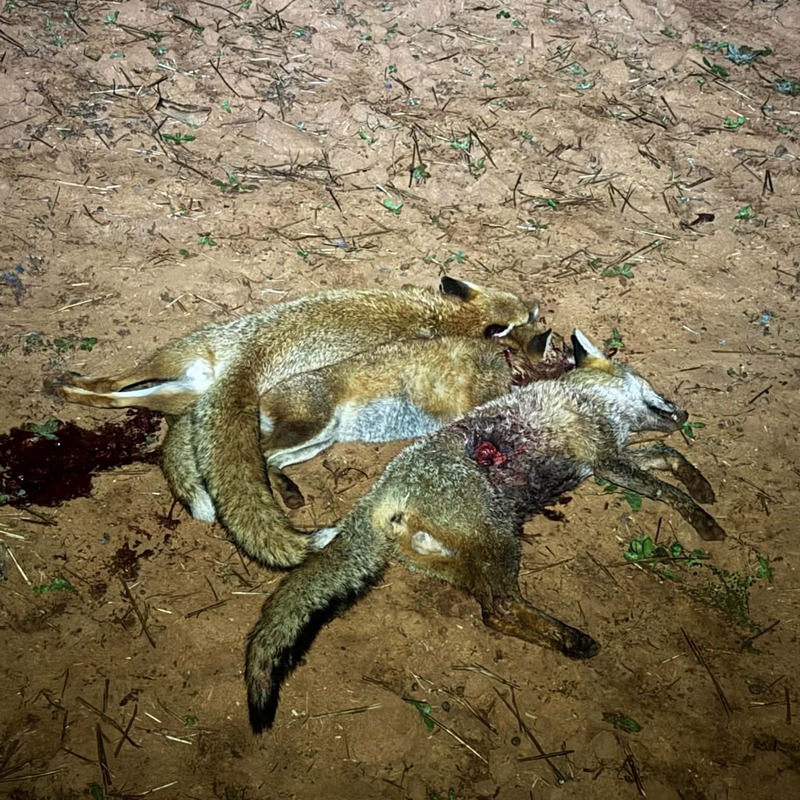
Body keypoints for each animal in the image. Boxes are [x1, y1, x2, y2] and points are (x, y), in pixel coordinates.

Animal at [50, 277, 536, 568]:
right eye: (529, 315)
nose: (538, 305)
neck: (443, 317)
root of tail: (246, 361)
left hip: (177, 385)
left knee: (115, 390)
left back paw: (70, 388)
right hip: (191, 377)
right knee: (122, 387)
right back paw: (69, 388)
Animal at [244, 330, 726, 732]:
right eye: (654, 387)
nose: (683, 410)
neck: (586, 398)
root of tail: (379, 495)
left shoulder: (606, 461)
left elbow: (668, 457)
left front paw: (702, 486)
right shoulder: (607, 461)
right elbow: (666, 488)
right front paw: (704, 519)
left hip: (464, 559)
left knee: (491, 610)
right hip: (502, 542)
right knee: (499, 608)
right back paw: (572, 640)